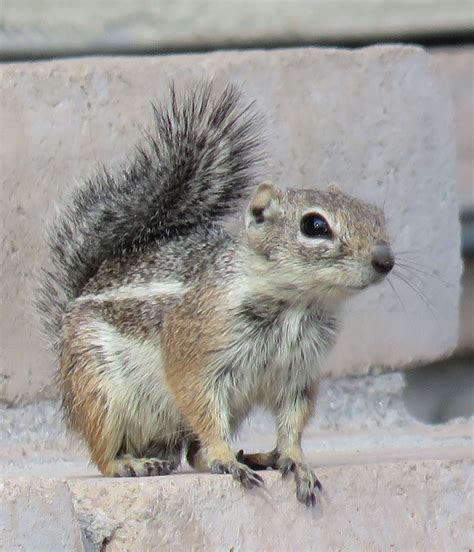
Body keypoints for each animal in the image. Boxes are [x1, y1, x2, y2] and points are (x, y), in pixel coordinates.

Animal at [37, 82, 394, 504]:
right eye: (315, 225)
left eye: (375, 214)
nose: (385, 260)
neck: (295, 305)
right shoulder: (196, 355)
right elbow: (203, 409)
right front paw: (225, 455)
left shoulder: (298, 373)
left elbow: (293, 421)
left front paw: (295, 460)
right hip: (98, 388)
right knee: (104, 451)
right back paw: (135, 464)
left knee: (192, 454)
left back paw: (253, 457)